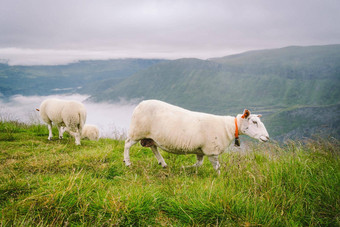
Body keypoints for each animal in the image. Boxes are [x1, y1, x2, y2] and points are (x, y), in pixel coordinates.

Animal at [123, 100, 270, 173]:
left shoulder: (201, 150)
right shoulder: (212, 151)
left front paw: (185, 168)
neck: (229, 127)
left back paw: (163, 163)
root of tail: (139, 104)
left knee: (153, 148)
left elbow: (199, 164)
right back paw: (127, 162)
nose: (267, 137)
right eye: (254, 122)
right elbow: (217, 167)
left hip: (151, 136)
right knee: (127, 144)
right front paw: (219, 178)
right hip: (137, 131)